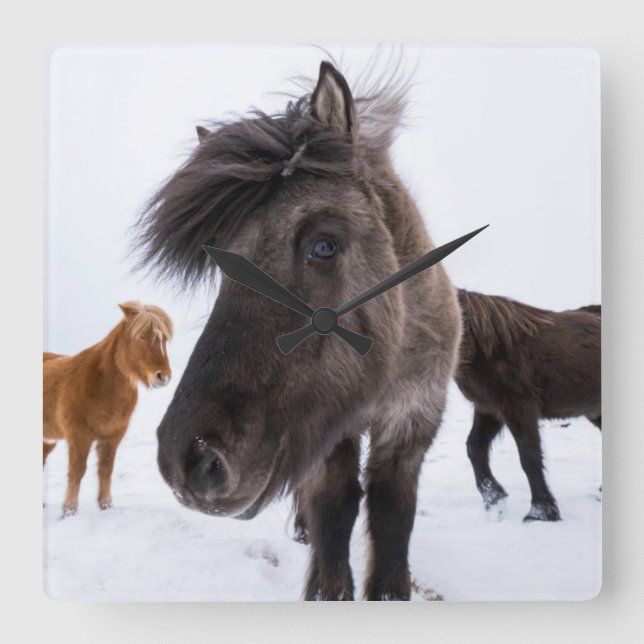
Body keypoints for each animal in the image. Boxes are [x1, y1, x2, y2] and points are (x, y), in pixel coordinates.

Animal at [43, 301, 173, 517]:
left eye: (163, 339)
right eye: (142, 336)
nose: (163, 377)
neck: (101, 385)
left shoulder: (113, 436)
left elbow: (106, 468)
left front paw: (106, 505)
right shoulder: (79, 436)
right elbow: (77, 470)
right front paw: (69, 510)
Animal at [135, 61, 462, 600]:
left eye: (324, 246)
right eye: (224, 264)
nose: (188, 460)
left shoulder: (411, 423)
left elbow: (392, 513)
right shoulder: (331, 428)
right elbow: (334, 505)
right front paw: (327, 586)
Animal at [455, 289, 601, 522]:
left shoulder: (519, 408)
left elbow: (529, 456)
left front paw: (541, 512)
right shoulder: (489, 409)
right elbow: (475, 447)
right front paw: (494, 500)